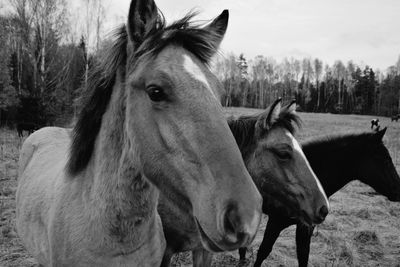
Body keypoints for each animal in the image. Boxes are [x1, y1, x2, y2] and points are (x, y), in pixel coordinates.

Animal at [238, 127, 400, 267]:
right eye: (385, 159)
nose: (397, 189)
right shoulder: (276, 222)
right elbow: (263, 252)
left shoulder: (306, 227)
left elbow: (303, 256)